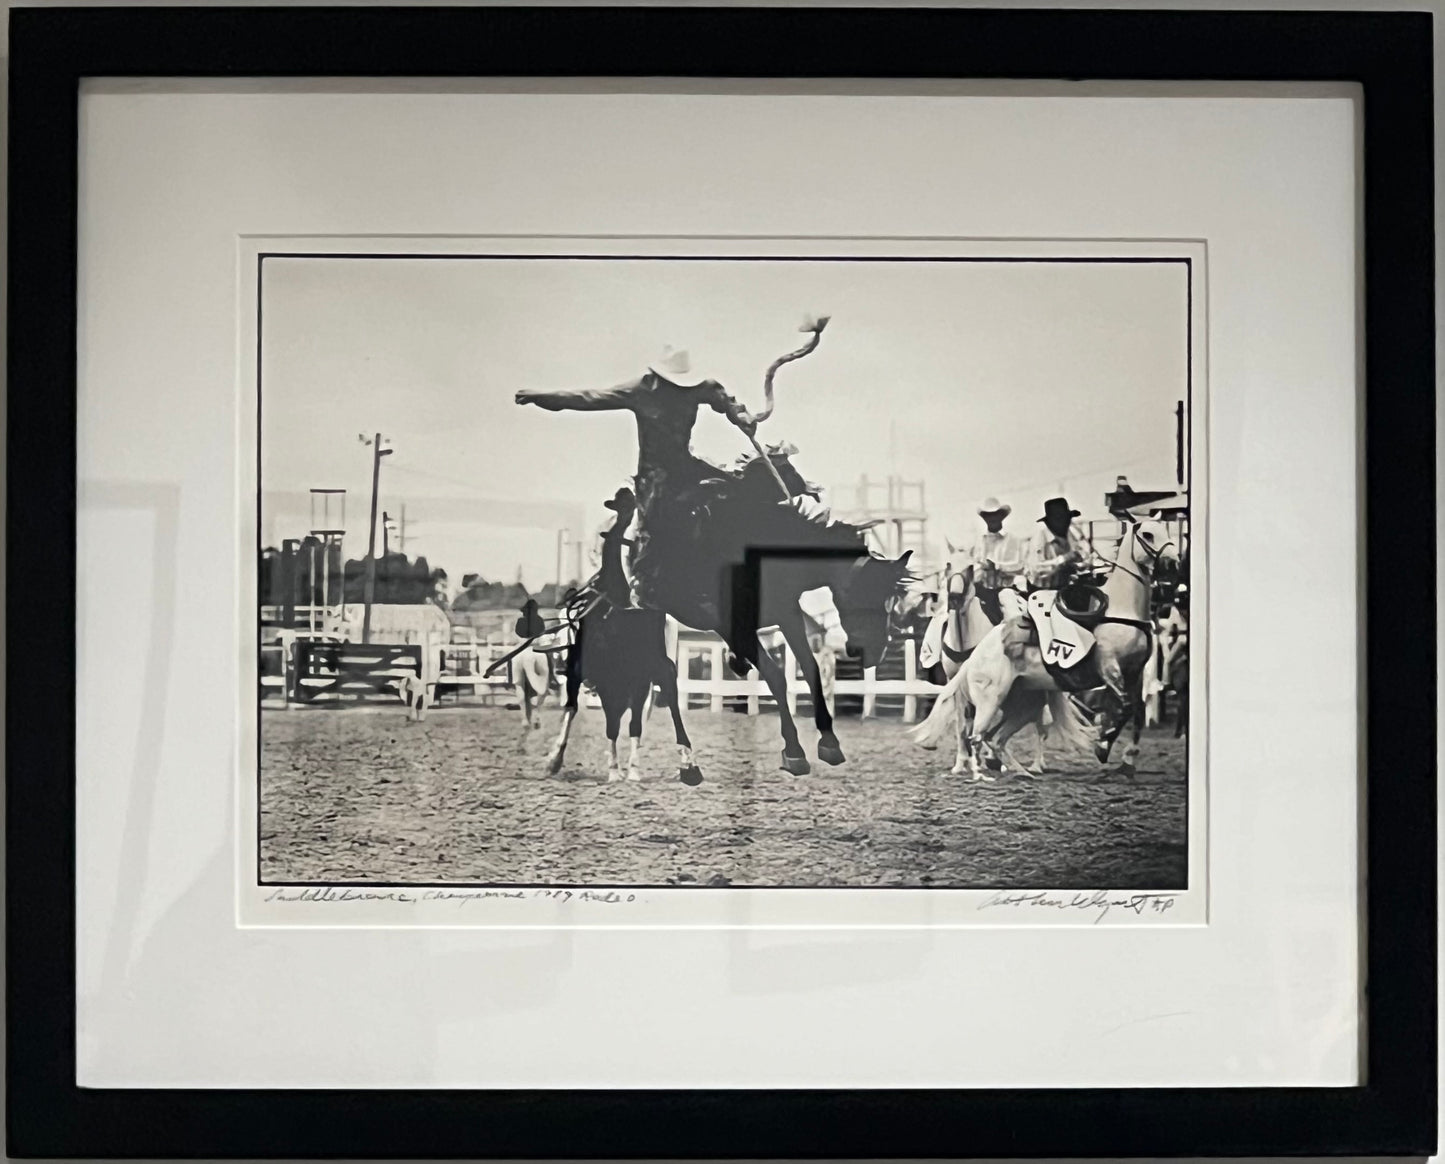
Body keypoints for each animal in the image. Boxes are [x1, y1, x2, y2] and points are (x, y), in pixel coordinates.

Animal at [919, 522, 1179, 785]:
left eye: (1164, 532)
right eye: (1147, 534)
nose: (1172, 563)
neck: (1119, 611)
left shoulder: (1134, 673)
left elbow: (1134, 712)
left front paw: (1124, 758)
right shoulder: (1109, 668)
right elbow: (1123, 707)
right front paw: (1103, 745)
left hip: (1024, 704)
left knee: (998, 736)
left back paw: (1023, 770)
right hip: (995, 700)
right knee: (981, 734)